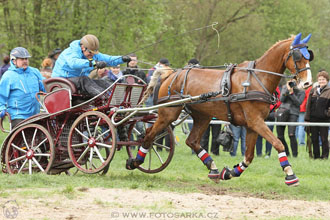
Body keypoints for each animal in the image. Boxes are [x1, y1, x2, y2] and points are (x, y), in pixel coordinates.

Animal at [126, 33, 312, 186]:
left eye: (309, 56)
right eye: (298, 56)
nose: (307, 83)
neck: (257, 78)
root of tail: (171, 75)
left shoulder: (252, 125)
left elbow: (249, 156)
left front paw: (229, 172)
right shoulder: (255, 121)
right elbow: (278, 144)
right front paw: (290, 174)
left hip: (202, 116)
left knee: (191, 141)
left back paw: (213, 168)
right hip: (169, 113)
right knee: (149, 135)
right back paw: (135, 161)